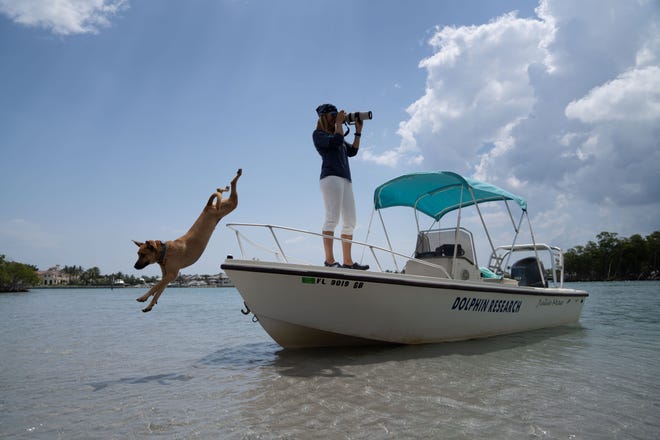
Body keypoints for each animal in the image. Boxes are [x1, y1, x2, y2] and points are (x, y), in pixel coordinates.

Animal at [131, 168, 242, 312]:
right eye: (138, 254)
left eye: (143, 254)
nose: (135, 266)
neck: (164, 252)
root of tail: (207, 206)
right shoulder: (166, 276)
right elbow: (158, 291)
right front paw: (150, 305)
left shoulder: (171, 274)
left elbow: (155, 287)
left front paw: (143, 297)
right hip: (223, 205)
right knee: (220, 192)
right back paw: (223, 187)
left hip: (229, 206)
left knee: (232, 192)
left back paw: (237, 176)